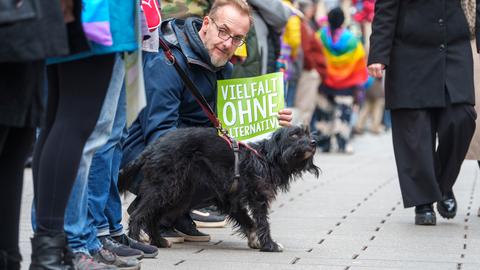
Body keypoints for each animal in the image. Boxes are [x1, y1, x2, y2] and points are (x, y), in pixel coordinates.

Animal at [117, 125, 318, 252]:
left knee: (152, 217)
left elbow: (248, 221)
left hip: (179, 195)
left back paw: (159, 242)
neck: (265, 158)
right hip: (167, 190)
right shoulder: (257, 198)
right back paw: (137, 243)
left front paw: (255, 240)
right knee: (138, 214)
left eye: (308, 134)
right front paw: (269, 245)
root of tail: (153, 147)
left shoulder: (231, 200)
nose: (314, 142)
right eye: (294, 135)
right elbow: (262, 222)